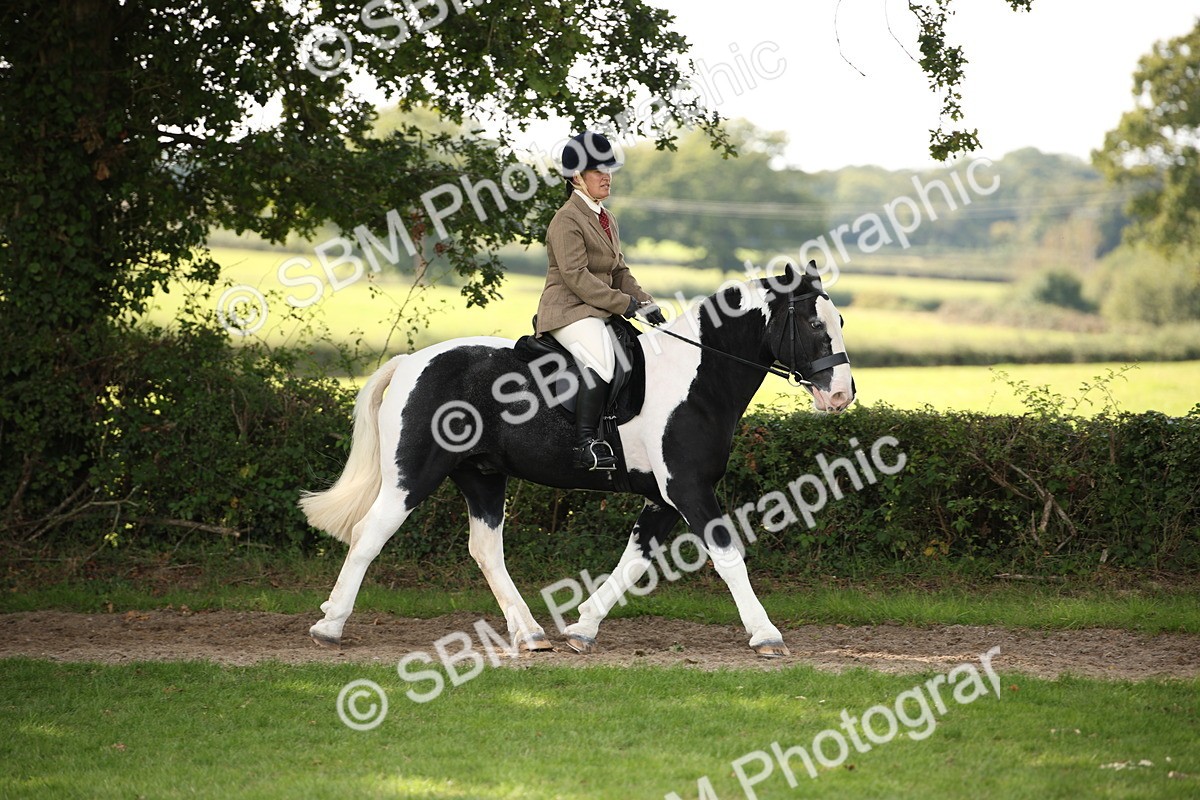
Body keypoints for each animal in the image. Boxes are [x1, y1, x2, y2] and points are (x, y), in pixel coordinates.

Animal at [300, 261, 855, 658]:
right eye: (812, 322)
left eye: (840, 320)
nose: (841, 395)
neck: (697, 376)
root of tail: (411, 362)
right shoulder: (689, 489)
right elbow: (728, 556)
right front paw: (766, 634)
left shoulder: (663, 498)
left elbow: (634, 562)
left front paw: (582, 628)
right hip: (413, 474)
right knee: (371, 533)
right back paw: (329, 625)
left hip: (481, 476)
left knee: (486, 550)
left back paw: (530, 634)